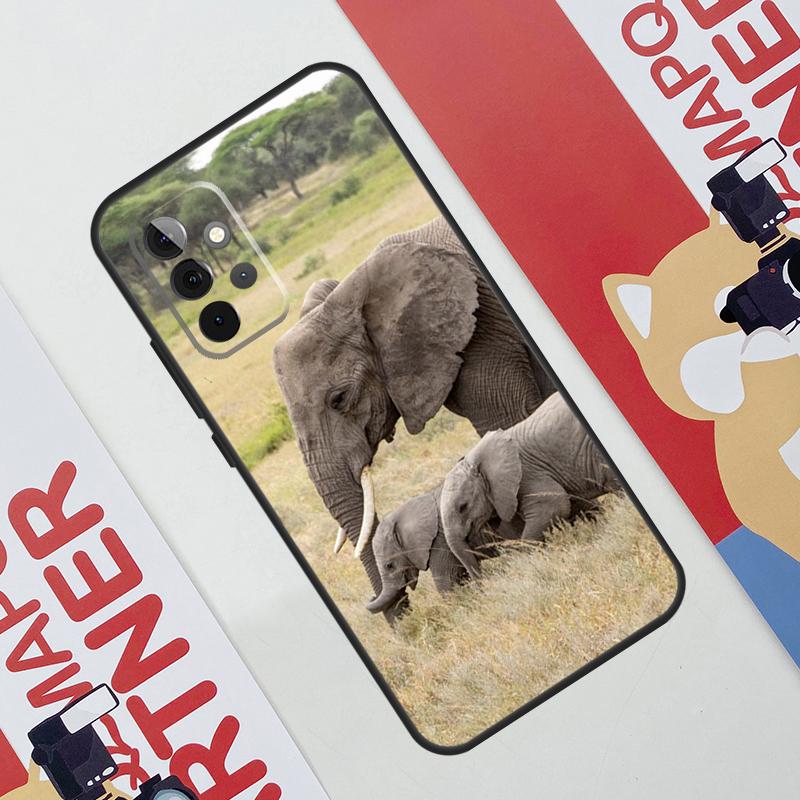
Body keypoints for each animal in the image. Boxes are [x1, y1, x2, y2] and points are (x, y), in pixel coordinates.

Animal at [440, 392, 621, 578]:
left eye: (463, 507)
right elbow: (577, 503)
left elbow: (554, 507)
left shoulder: (528, 475)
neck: (475, 457)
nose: (481, 581)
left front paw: (527, 561)